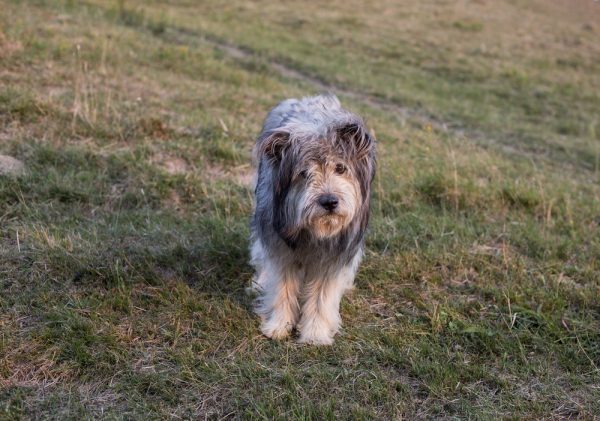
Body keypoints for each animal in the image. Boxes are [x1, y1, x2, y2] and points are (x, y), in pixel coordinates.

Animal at [250, 93, 376, 342]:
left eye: (340, 168)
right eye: (304, 173)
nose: (329, 202)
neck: (315, 231)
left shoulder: (333, 258)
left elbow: (321, 296)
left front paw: (315, 334)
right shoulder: (281, 249)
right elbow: (282, 288)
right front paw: (279, 326)